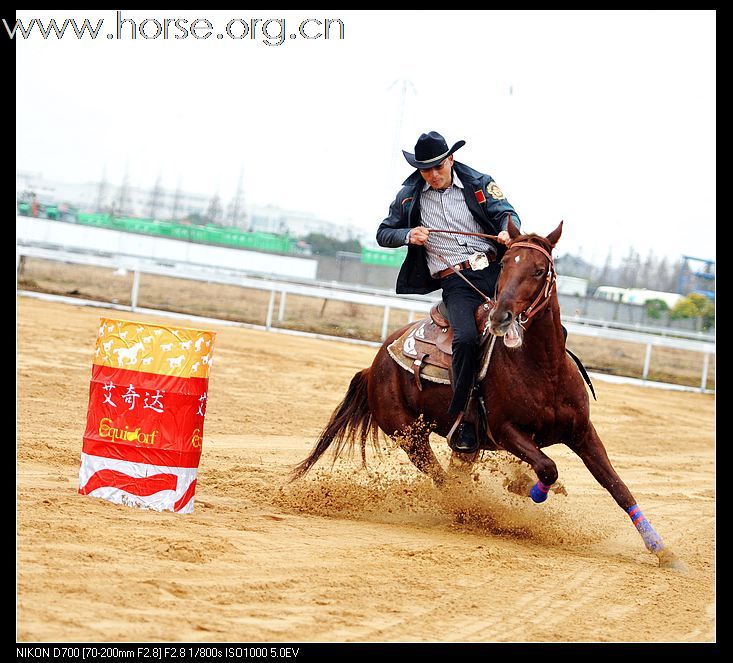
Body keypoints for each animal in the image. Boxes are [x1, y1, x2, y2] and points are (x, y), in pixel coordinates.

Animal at [290, 220, 680, 568]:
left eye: (540, 270)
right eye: (505, 264)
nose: (501, 316)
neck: (544, 370)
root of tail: (375, 366)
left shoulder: (583, 433)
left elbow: (617, 486)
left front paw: (662, 550)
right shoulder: (505, 431)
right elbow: (548, 467)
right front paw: (527, 488)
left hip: (463, 446)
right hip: (410, 436)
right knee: (444, 480)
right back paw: (472, 511)